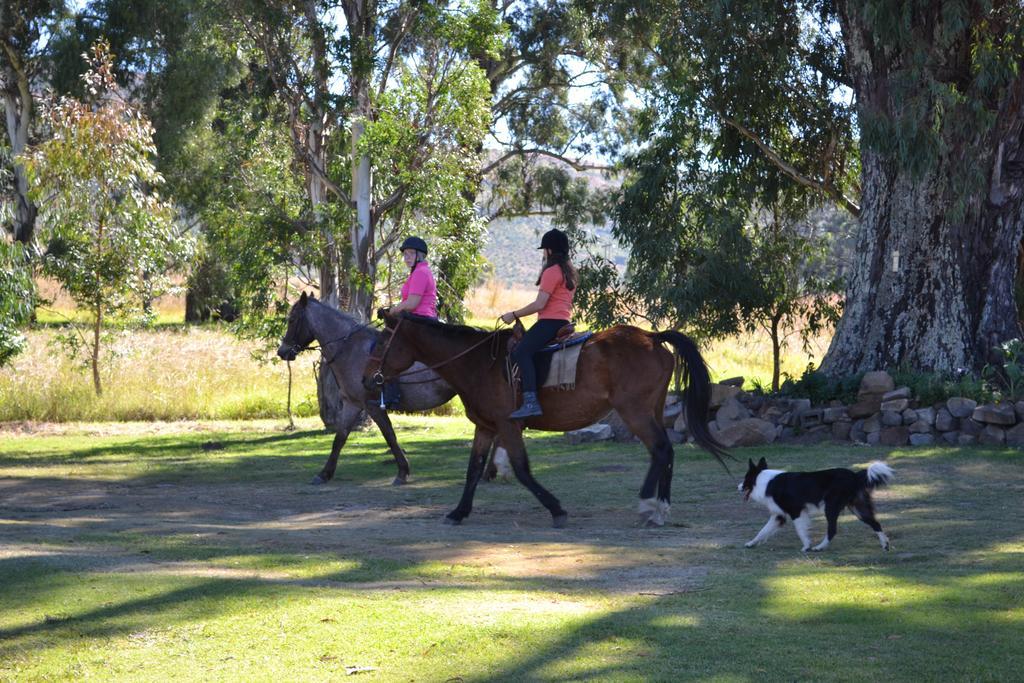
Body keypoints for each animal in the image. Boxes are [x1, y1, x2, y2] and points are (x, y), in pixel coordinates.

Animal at [280, 292, 456, 485]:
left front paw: (403, 472)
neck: (350, 349)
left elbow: (390, 436)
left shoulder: (373, 406)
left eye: (292, 319)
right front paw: (324, 474)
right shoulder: (352, 404)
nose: (282, 352)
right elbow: (339, 438)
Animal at [362, 313, 729, 532]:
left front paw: (556, 509)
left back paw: (652, 507)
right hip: (650, 409)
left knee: (662, 449)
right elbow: (473, 470)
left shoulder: (508, 426)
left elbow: (523, 470)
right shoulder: (486, 427)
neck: (478, 363)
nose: (367, 379)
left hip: (635, 411)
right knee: (662, 453)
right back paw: (657, 506)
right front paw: (458, 512)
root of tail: (652, 338)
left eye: (382, 342)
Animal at [737, 456, 897, 552]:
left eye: (745, 479)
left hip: (831, 507)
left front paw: (806, 546)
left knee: (832, 529)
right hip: (858, 508)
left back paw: (819, 547)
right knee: (875, 523)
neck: (765, 482)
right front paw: (751, 543)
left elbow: (801, 531)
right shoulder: (779, 515)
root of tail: (854, 475)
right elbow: (762, 531)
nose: (737, 487)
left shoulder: (796, 511)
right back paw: (885, 545)